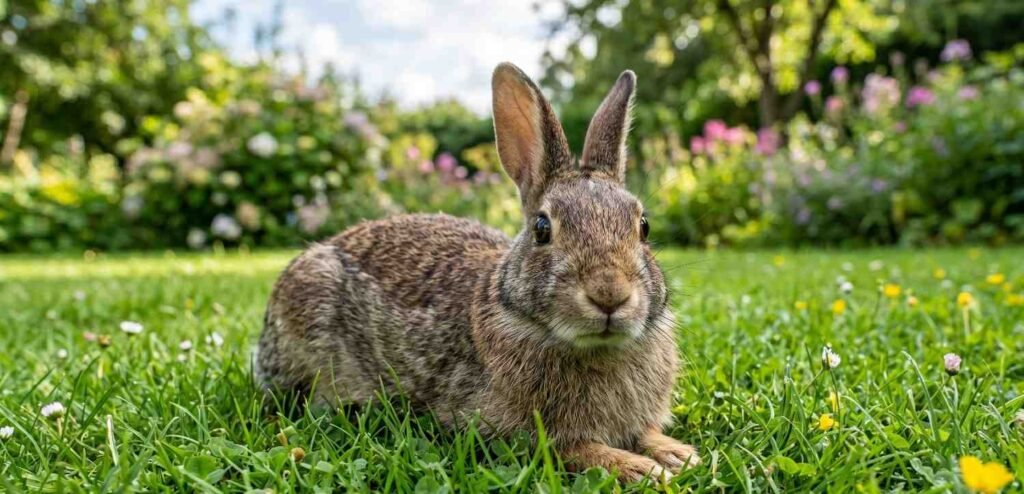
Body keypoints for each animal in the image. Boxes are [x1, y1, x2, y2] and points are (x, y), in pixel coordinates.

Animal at [255, 62, 699, 482]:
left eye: (644, 226)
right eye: (542, 228)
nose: (609, 294)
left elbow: (645, 433)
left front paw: (678, 455)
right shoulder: (508, 430)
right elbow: (573, 450)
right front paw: (640, 468)